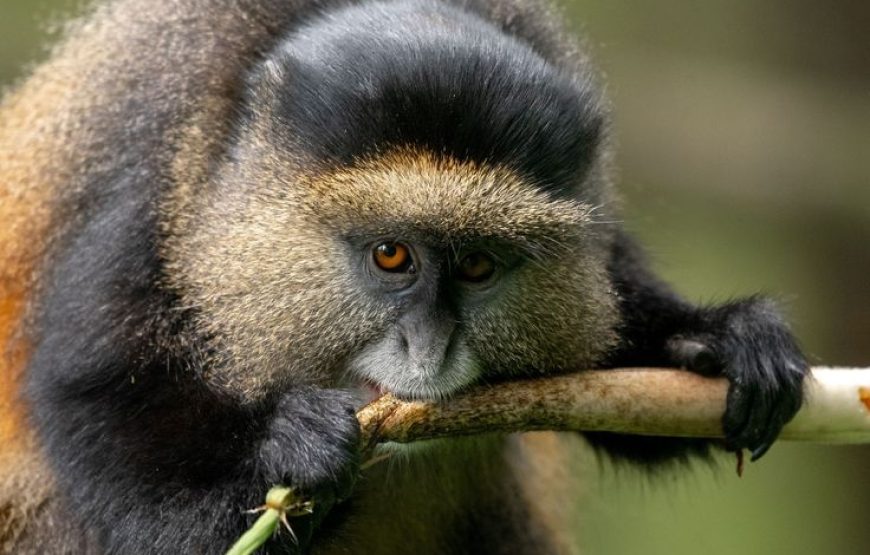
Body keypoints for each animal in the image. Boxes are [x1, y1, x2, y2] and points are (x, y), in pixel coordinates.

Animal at [0, 0, 808, 553]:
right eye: (392, 256)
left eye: (478, 265)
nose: (431, 349)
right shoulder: (142, 192)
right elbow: (97, 409)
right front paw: (291, 448)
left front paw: (722, 339)